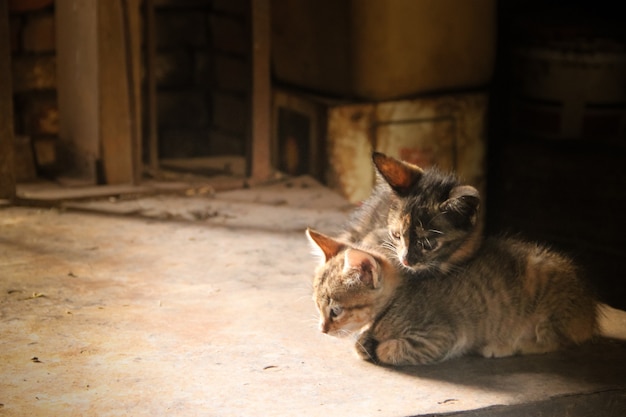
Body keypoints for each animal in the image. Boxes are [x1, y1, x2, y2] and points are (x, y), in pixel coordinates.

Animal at [304, 228, 596, 364]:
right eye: (317, 307)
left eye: (336, 311)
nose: (322, 330)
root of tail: (589, 308)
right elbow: (362, 341)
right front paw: (366, 340)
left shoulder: (441, 337)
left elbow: (390, 349)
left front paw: (377, 347)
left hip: (547, 306)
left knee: (557, 341)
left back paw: (505, 346)